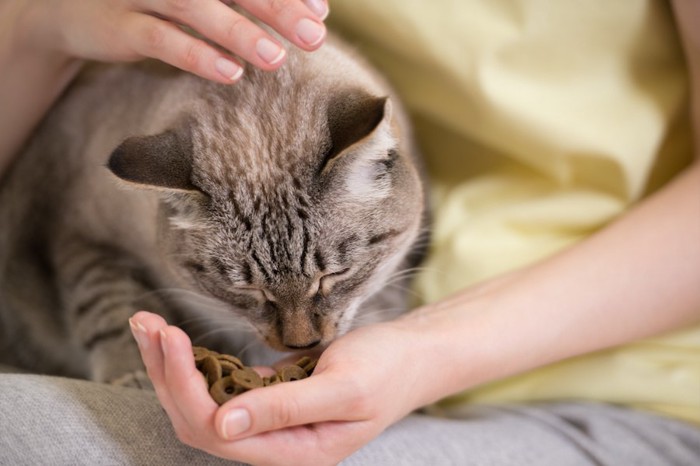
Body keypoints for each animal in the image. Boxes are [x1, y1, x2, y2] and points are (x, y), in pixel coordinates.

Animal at [0, 33, 426, 386]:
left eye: (335, 275)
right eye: (247, 289)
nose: (302, 345)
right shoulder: (76, 233)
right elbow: (110, 307)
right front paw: (135, 376)